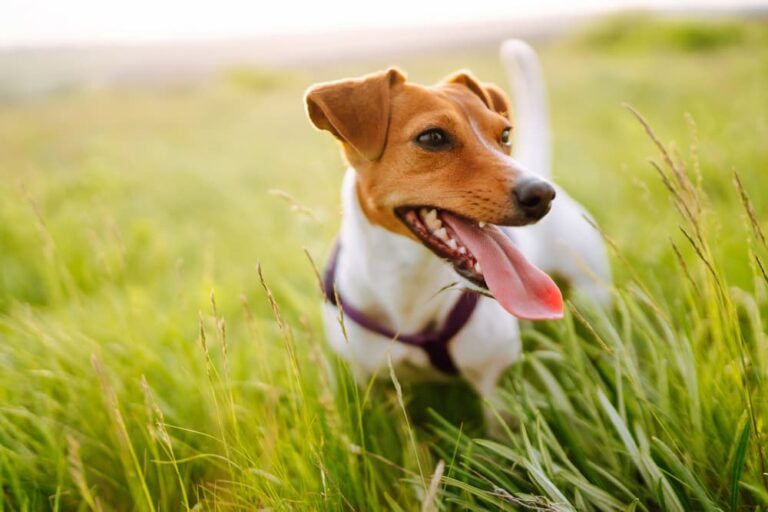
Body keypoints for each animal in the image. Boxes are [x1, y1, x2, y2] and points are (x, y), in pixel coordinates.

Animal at [304, 39, 608, 416]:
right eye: (433, 137)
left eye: (504, 134)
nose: (541, 193)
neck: (410, 284)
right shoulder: (373, 383)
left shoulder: (496, 382)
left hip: (594, 293)